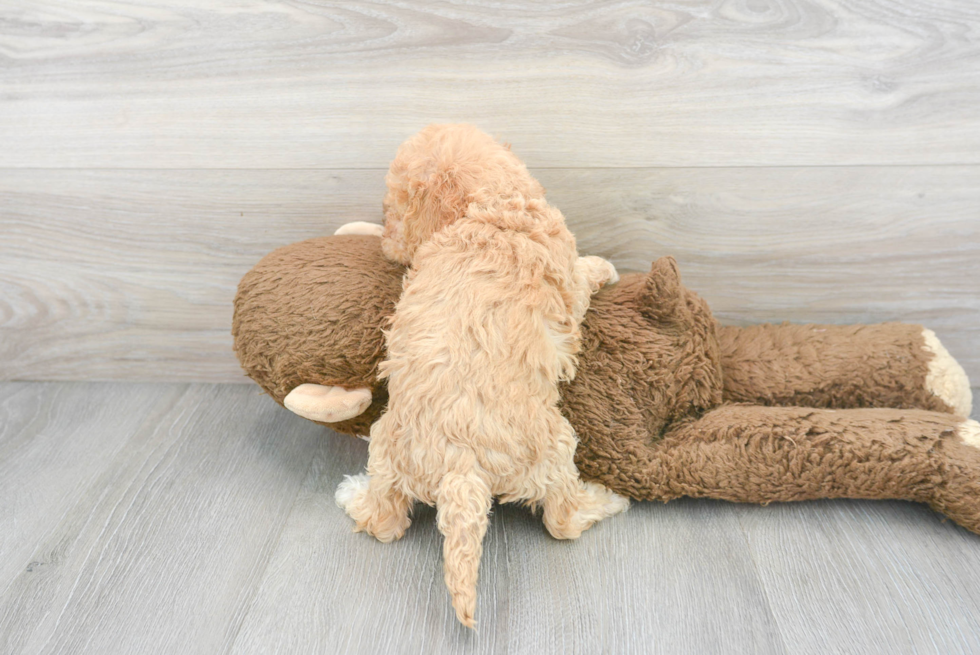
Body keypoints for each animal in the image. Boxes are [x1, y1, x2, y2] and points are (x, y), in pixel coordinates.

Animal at [336, 124, 628, 632]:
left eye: (393, 205)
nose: (388, 241)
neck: (488, 206)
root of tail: (461, 463)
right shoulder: (567, 280)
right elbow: (583, 275)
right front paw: (605, 267)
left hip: (387, 445)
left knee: (385, 521)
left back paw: (353, 494)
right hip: (554, 445)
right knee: (562, 520)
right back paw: (603, 502)